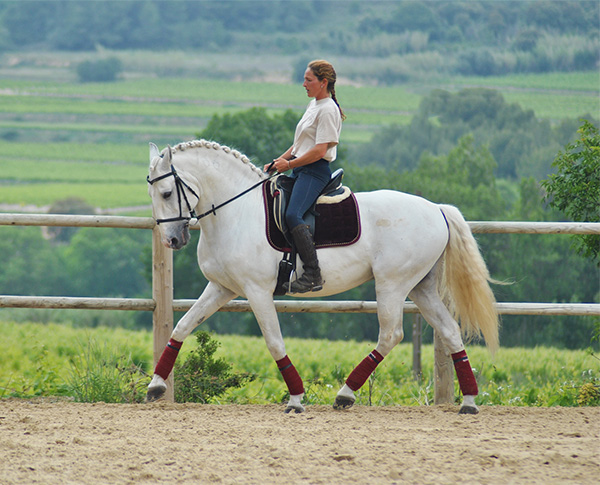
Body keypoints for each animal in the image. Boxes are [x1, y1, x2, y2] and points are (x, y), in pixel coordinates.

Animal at [144, 139, 496, 412]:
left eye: (166, 193)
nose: (172, 240)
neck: (236, 212)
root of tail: (436, 209)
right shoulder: (221, 288)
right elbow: (182, 326)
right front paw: (156, 386)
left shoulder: (257, 291)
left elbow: (274, 342)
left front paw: (296, 398)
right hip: (420, 286)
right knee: (449, 331)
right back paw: (468, 401)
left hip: (393, 283)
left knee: (390, 334)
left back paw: (345, 394)